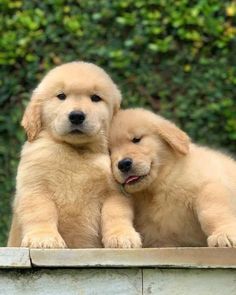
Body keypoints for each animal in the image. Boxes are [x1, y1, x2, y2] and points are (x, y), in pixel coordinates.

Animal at [7, 62, 141, 250]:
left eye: (95, 98)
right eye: (61, 96)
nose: (77, 116)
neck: (76, 150)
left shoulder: (115, 191)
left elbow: (116, 213)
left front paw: (123, 237)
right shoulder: (35, 186)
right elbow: (41, 212)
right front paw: (43, 238)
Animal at [109, 108, 236, 247]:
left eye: (136, 139)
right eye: (108, 151)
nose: (123, 164)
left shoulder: (210, 183)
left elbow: (213, 211)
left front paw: (224, 234)